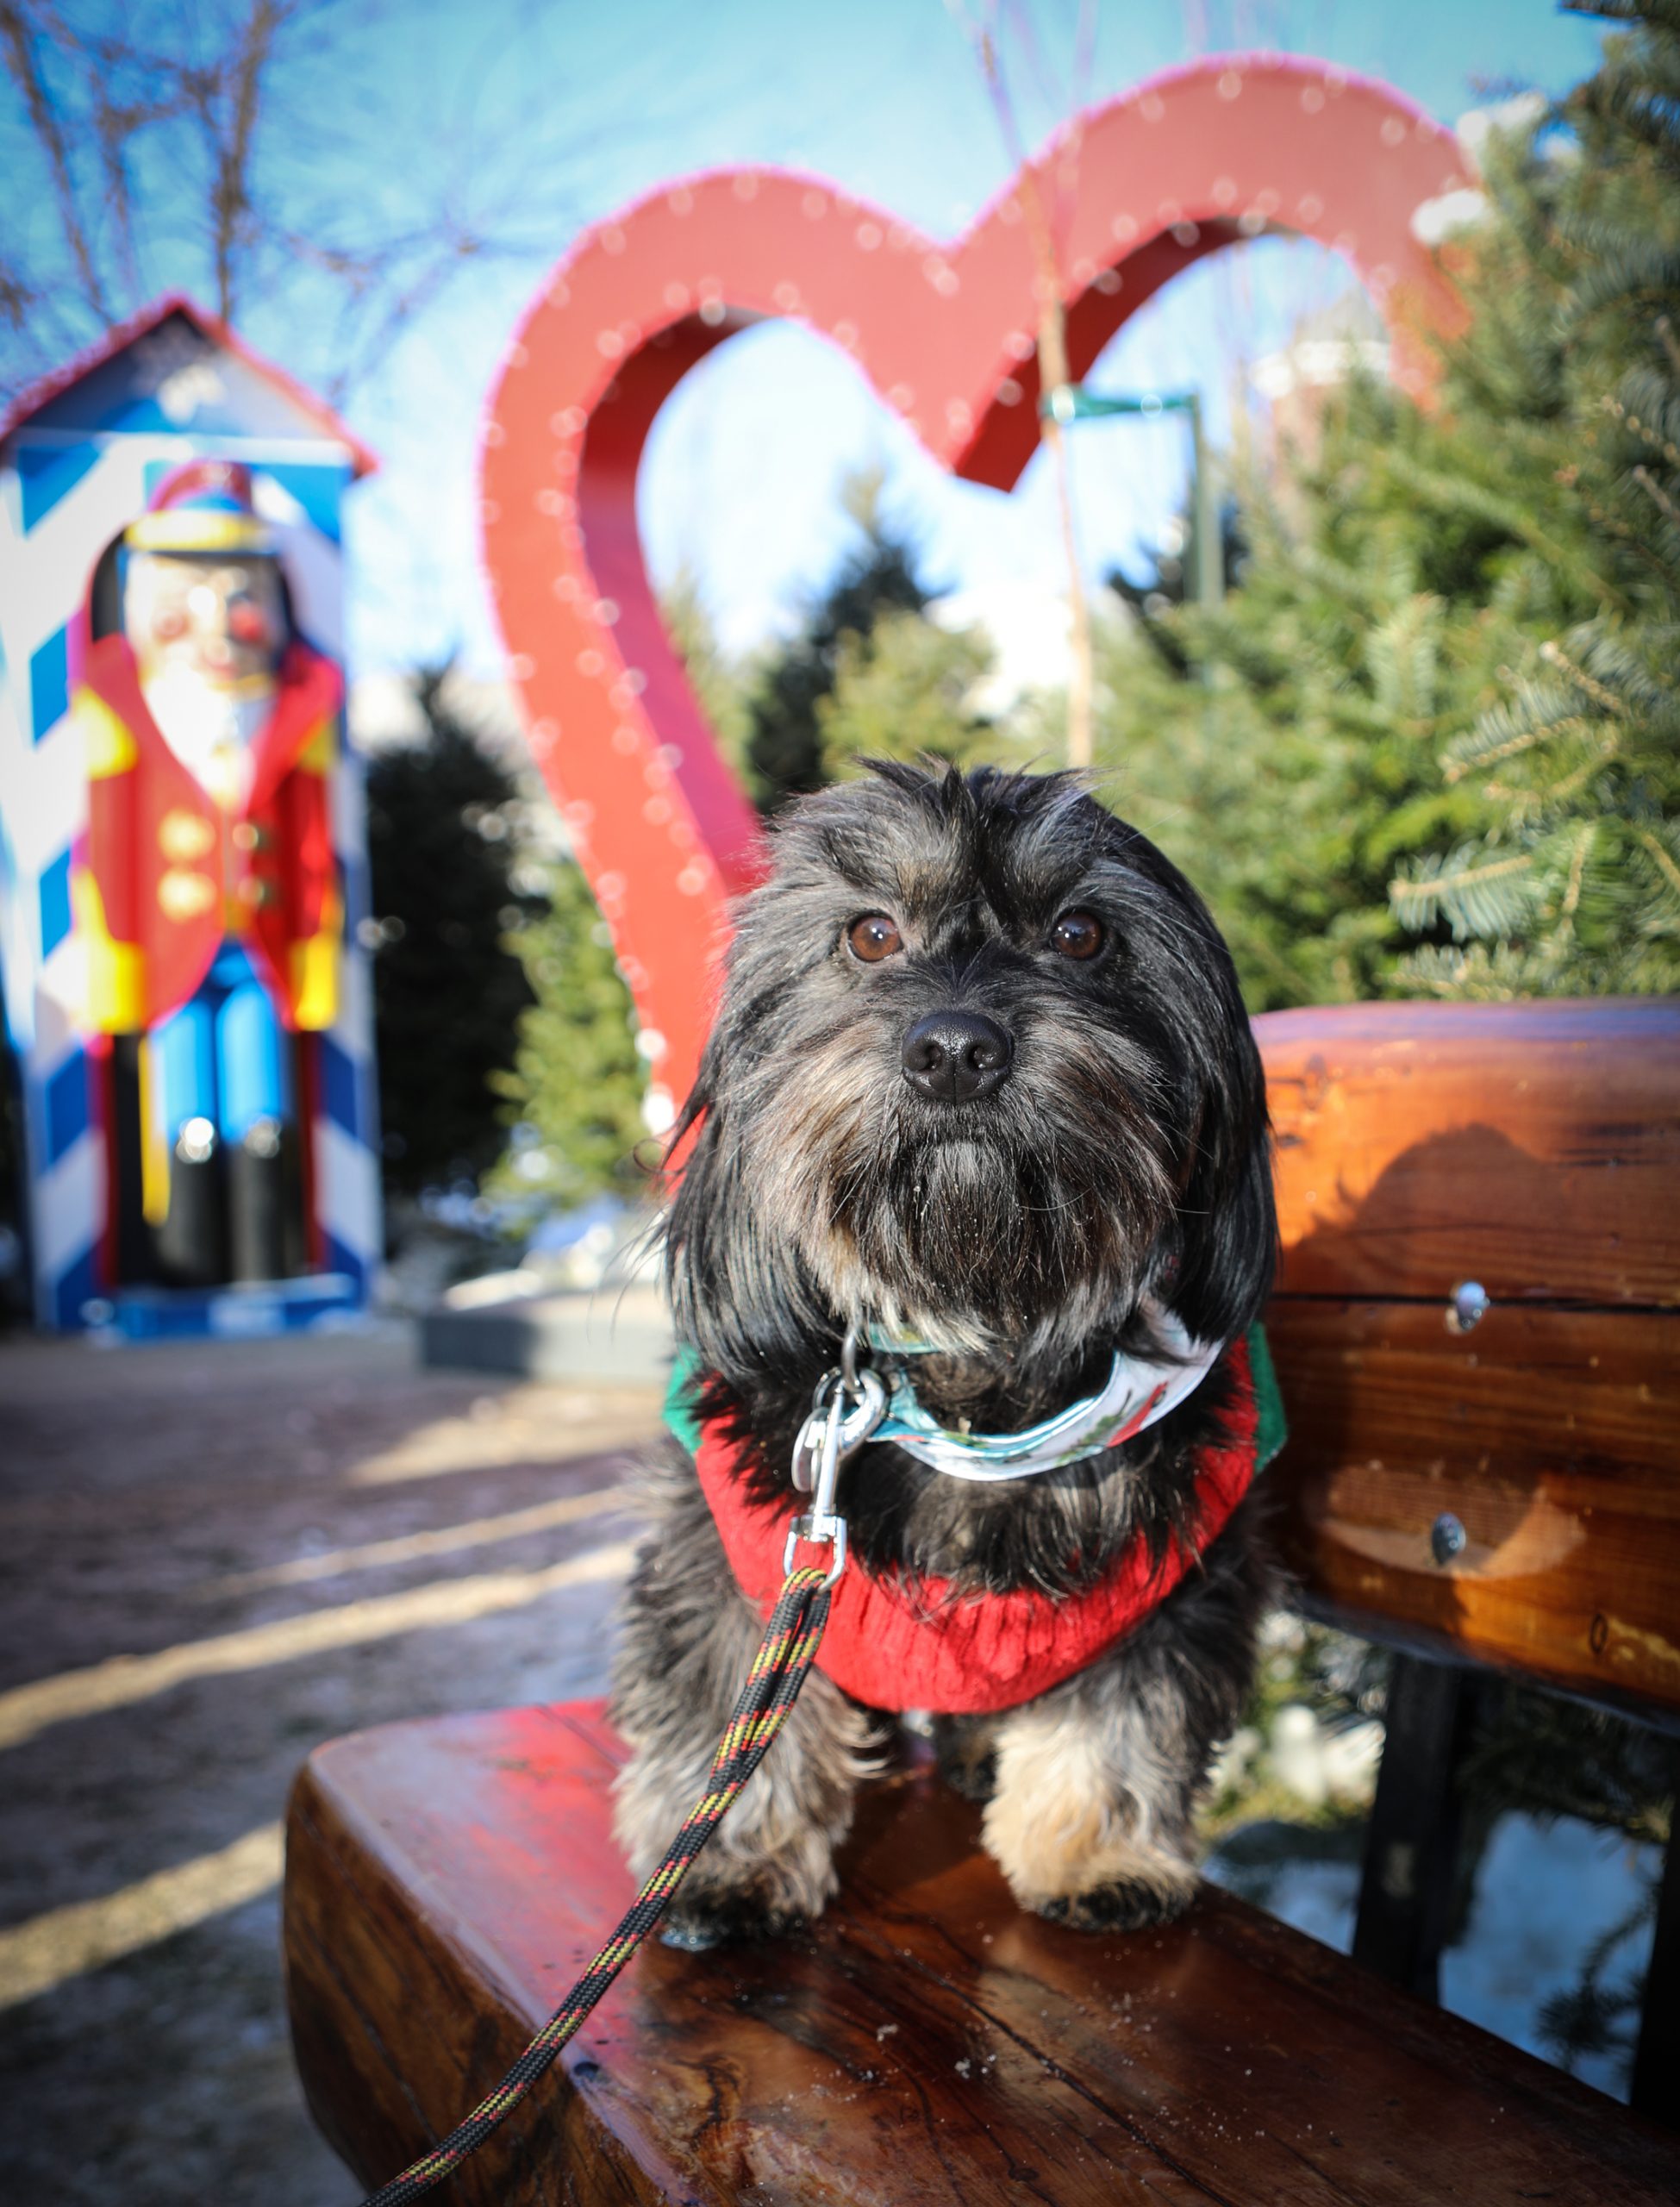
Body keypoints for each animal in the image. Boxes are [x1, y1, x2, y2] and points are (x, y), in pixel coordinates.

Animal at [604, 763, 1271, 1951]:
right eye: (870, 934)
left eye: (1080, 932)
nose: (955, 1048)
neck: (974, 1361)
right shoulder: (729, 1550)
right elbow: (727, 1702)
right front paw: (726, 1862)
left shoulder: (1169, 1571)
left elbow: (1122, 1711)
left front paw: (1097, 1850)